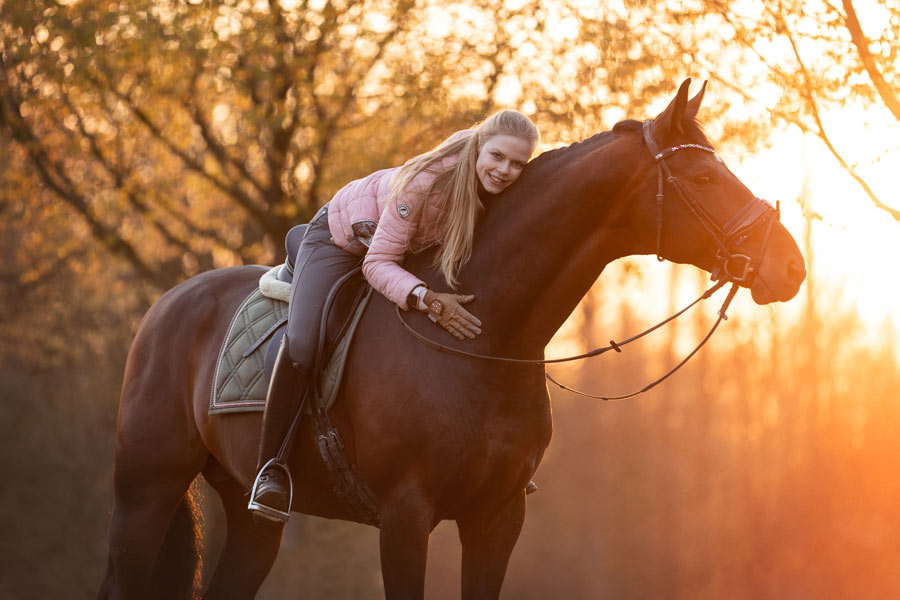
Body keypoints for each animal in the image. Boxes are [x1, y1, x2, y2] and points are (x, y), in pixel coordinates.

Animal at [100, 81, 808, 600]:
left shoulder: (496, 520)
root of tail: (167, 306)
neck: (486, 342)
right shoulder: (404, 519)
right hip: (146, 493)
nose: (791, 268)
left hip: (249, 521)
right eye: (705, 179)